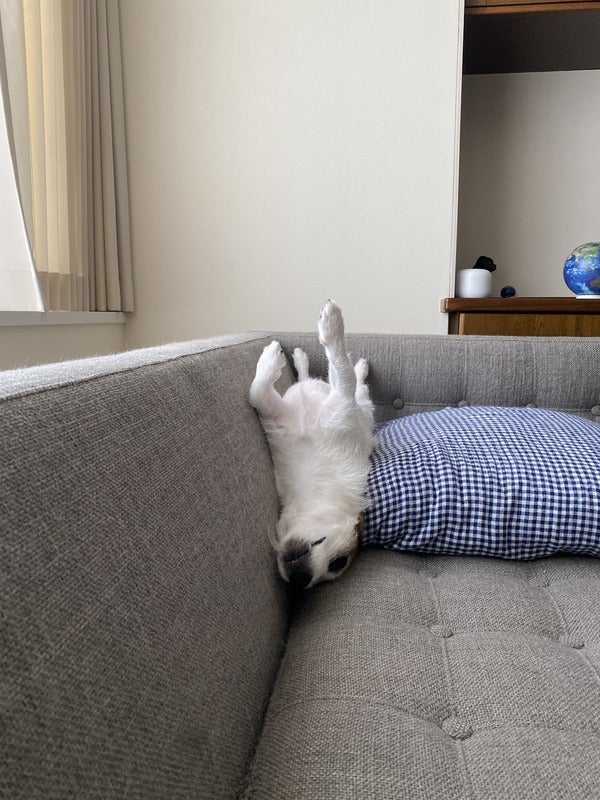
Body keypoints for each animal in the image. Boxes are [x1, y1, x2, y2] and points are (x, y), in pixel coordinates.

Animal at [250, 300, 375, 588]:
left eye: (336, 564)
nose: (301, 581)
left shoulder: (343, 404)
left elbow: (343, 373)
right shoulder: (277, 414)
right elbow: (257, 392)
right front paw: (273, 357)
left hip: (362, 409)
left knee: (353, 384)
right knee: (330, 377)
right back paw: (303, 357)